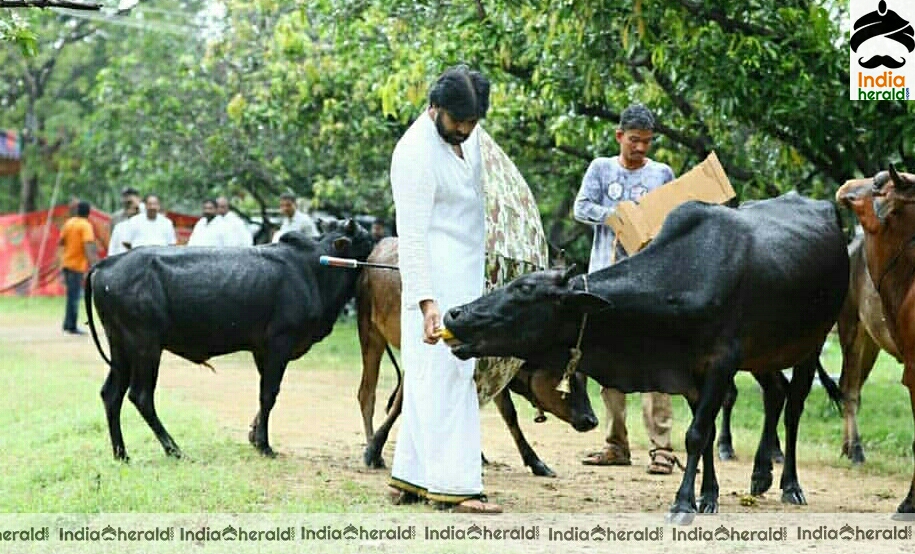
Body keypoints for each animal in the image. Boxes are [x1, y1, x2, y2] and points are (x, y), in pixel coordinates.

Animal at [84, 218, 374, 460]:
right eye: (367, 241)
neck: (315, 268)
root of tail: (106, 263)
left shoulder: (262, 350)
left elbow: (266, 394)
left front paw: (255, 437)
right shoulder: (279, 343)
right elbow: (269, 394)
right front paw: (265, 445)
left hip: (120, 346)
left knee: (111, 394)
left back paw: (122, 454)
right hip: (146, 346)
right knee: (141, 396)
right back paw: (173, 449)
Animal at [354, 237, 596, 474]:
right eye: (568, 376)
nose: (592, 420)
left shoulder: (494, 371)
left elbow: (508, 413)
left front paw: (533, 462)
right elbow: (401, 404)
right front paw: (374, 449)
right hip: (370, 333)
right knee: (367, 393)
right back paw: (372, 443)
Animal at [444, 191, 852, 516]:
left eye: (524, 291)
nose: (454, 313)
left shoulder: (721, 364)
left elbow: (695, 433)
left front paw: (685, 501)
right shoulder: (690, 373)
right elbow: (703, 436)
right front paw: (708, 495)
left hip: (811, 343)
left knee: (794, 407)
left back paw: (790, 485)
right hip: (763, 354)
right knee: (775, 394)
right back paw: (760, 474)